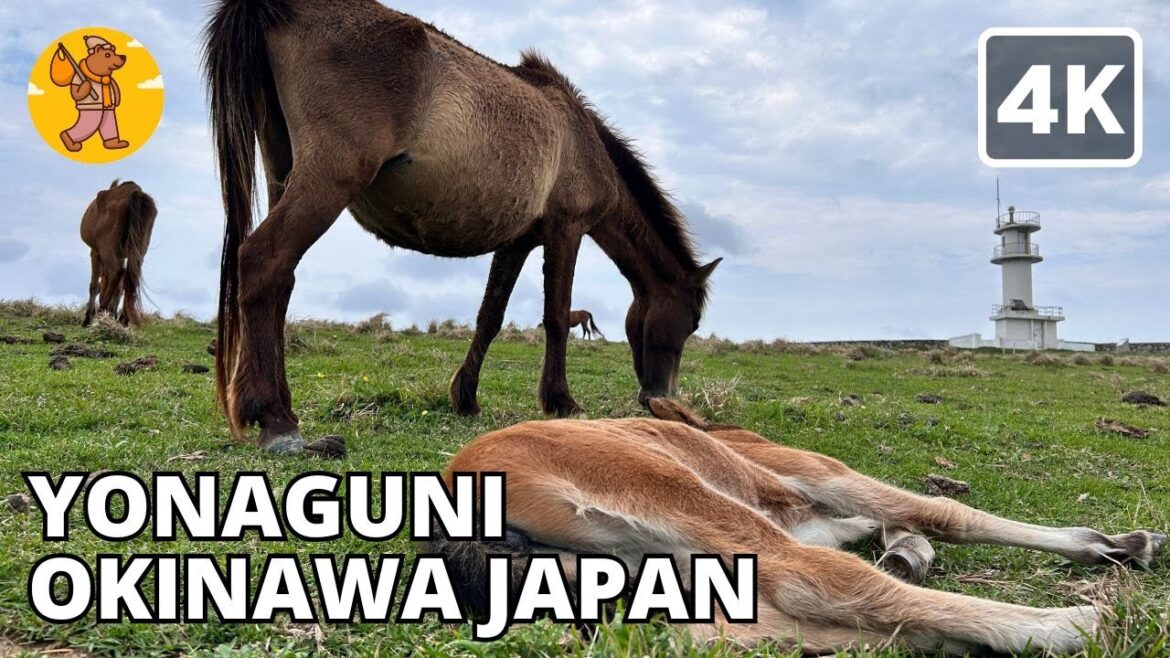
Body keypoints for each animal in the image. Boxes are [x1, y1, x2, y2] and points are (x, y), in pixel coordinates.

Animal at [80, 179, 157, 327]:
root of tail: (134, 192)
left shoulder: (95, 252)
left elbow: (94, 285)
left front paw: (88, 318)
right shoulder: (121, 255)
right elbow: (119, 287)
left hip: (106, 248)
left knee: (116, 272)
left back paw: (101, 312)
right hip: (138, 252)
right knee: (131, 277)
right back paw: (123, 319)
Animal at [204, 0, 720, 456]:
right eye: (691, 321)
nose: (658, 396)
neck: (581, 139)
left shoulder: (517, 242)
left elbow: (489, 317)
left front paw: (465, 397)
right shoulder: (565, 230)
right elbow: (556, 316)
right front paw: (561, 400)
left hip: (283, 172)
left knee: (279, 282)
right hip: (327, 180)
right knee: (265, 261)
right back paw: (276, 421)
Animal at [435, 398, 1166, 654]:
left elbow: (892, 527)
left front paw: (904, 551)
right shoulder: (818, 472)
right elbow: (938, 513)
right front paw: (1118, 544)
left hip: (672, 579)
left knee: (775, 626)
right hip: (676, 500)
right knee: (818, 580)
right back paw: (1077, 624)